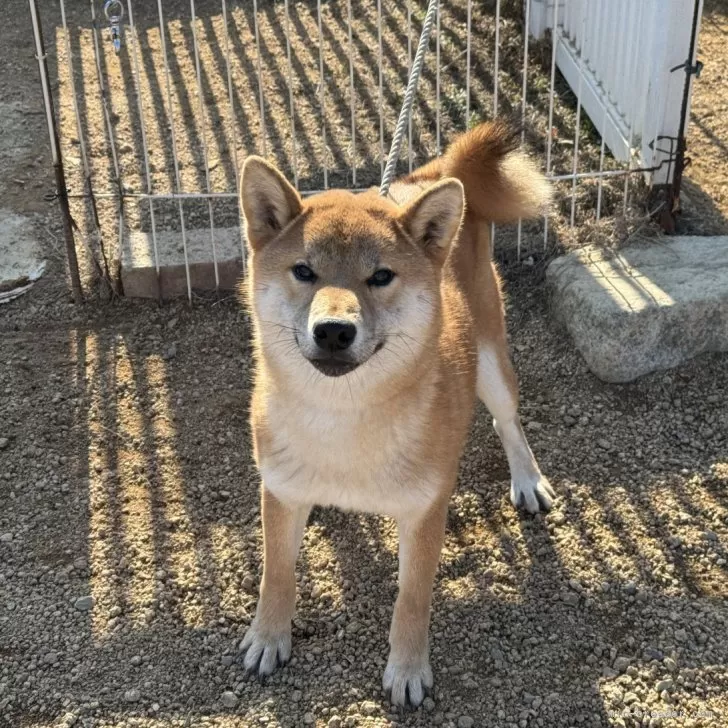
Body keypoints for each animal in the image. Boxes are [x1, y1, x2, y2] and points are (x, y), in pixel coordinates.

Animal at [239, 122, 552, 708]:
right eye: (304, 271)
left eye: (380, 276)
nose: (333, 331)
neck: (343, 425)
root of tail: (428, 176)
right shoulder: (279, 490)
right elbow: (277, 573)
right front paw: (268, 636)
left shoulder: (425, 510)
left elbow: (413, 596)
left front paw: (407, 668)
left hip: (491, 362)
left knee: (507, 422)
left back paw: (527, 480)